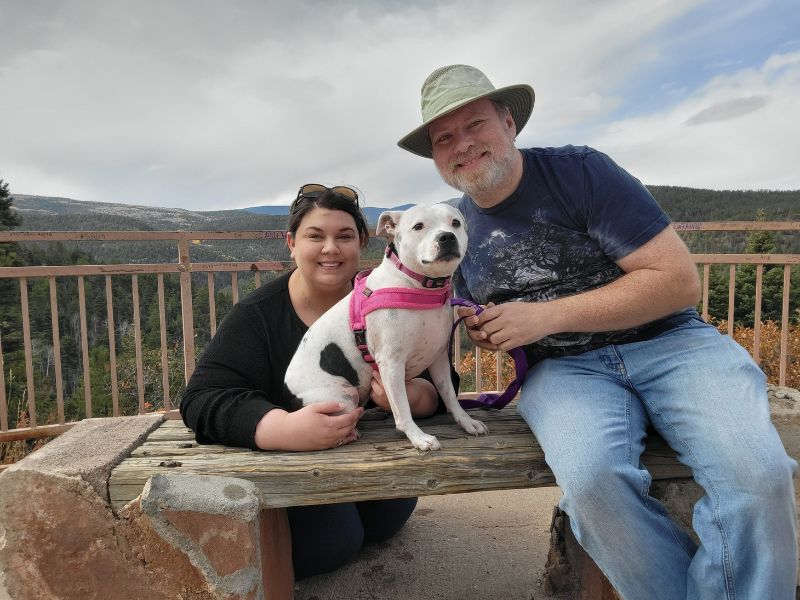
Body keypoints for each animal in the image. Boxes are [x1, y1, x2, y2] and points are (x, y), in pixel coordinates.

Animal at [284, 203, 490, 450]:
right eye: (418, 226)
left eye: (455, 223)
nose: (447, 237)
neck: (419, 287)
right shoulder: (392, 364)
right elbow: (402, 408)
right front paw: (418, 437)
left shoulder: (439, 358)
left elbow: (449, 394)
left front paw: (466, 421)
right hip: (342, 395)